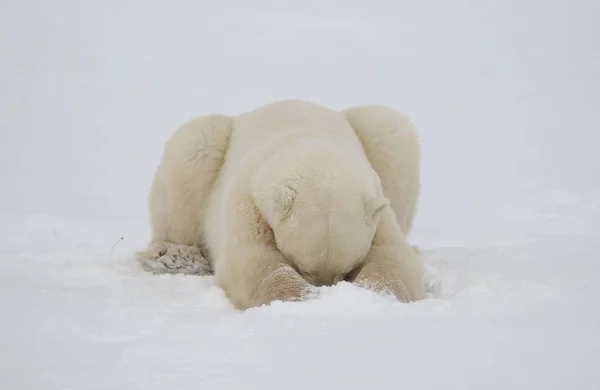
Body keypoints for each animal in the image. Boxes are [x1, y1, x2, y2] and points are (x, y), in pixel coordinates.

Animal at [136, 99, 424, 310]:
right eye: (303, 267)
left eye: (347, 270)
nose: (325, 288)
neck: (303, 141)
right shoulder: (248, 199)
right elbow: (251, 259)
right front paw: (302, 298)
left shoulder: (379, 209)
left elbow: (392, 255)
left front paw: (373, 296)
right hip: (207, 148)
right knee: (192, 149)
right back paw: (174, 256)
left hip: (379, 137)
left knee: (389, 132)